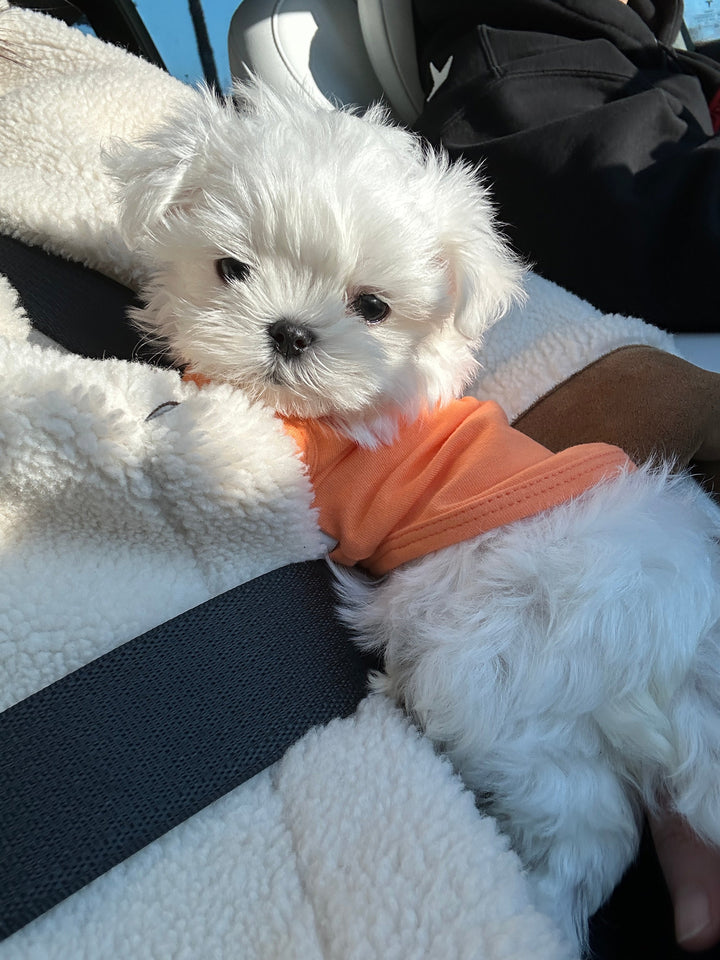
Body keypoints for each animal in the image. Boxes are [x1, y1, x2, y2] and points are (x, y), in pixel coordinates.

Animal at [109, 79, 720, 948]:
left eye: (373, 306)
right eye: (230, 268)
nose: (289, 332)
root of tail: (676, 648)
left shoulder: (297, 475)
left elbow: (226, 433)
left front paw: (149, 408)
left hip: (487, 668)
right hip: (546, 724)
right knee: (588, 828)